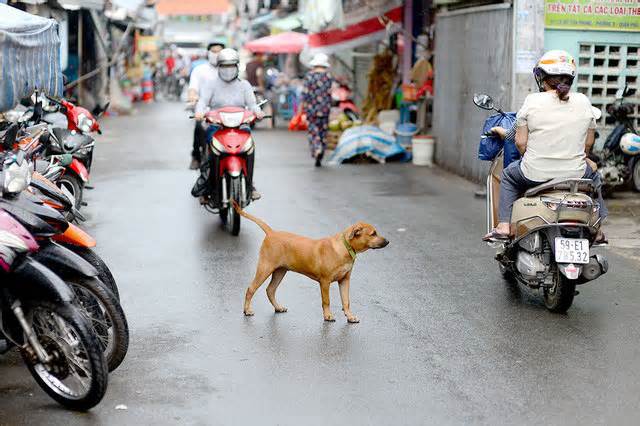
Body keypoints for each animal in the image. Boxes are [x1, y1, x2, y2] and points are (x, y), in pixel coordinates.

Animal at [232, 203, 388, 322]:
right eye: (373, 234)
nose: (388, 241)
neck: (345, 247)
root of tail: (271, 233)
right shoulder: (325, 281)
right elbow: (326, 301)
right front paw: (328, 316)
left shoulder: (344, 280)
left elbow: (346, 301)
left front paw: (350, 316)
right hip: (265, 268)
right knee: (251, 289)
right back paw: (247, 310)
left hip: (280, 271)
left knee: (270, 290)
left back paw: (278, 307)